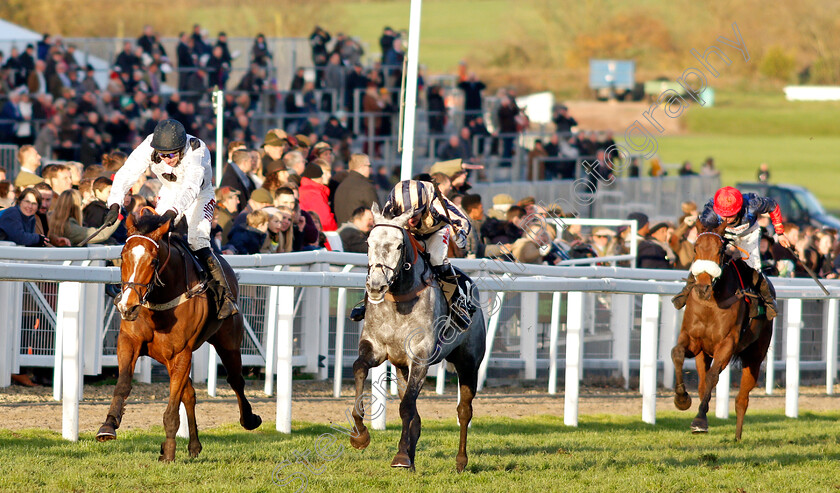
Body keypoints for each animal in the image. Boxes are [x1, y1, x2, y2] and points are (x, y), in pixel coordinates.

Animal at [95, 207, 260, 458]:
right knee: (189, 394)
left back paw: (248, 419)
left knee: (235, 380)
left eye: (153, 261)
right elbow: (123, 384)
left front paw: (170, 452)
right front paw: (108, 425)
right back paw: (194, 445)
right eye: (123, 256)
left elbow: (173, 405)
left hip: (228, 341)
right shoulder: (129, 341)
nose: (127, 306)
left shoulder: (181, 352)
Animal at [350, 202, 486, 470]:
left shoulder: (421, 358)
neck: (398, 300)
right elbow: (360, 368)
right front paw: (360, 435)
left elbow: (406, 408)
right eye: (368, 243)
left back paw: (461, 461)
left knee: (464, 411)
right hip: (402, 367)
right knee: (416, 413)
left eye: (398, 245)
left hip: (469, 363)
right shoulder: (376, 349)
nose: (376, 286)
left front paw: (401, 457)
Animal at [672, 223, 772, 438]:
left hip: (754, 357)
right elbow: (677, 354)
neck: (711, 303)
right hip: (703, 354)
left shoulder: (727, 343)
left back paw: (737, 437)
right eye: (695, 248)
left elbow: (713, 377)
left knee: (742, 398)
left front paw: (699, 420)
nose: (702, 288)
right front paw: (682, 399)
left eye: (719, 251)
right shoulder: (692, 340)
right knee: (703, 385)